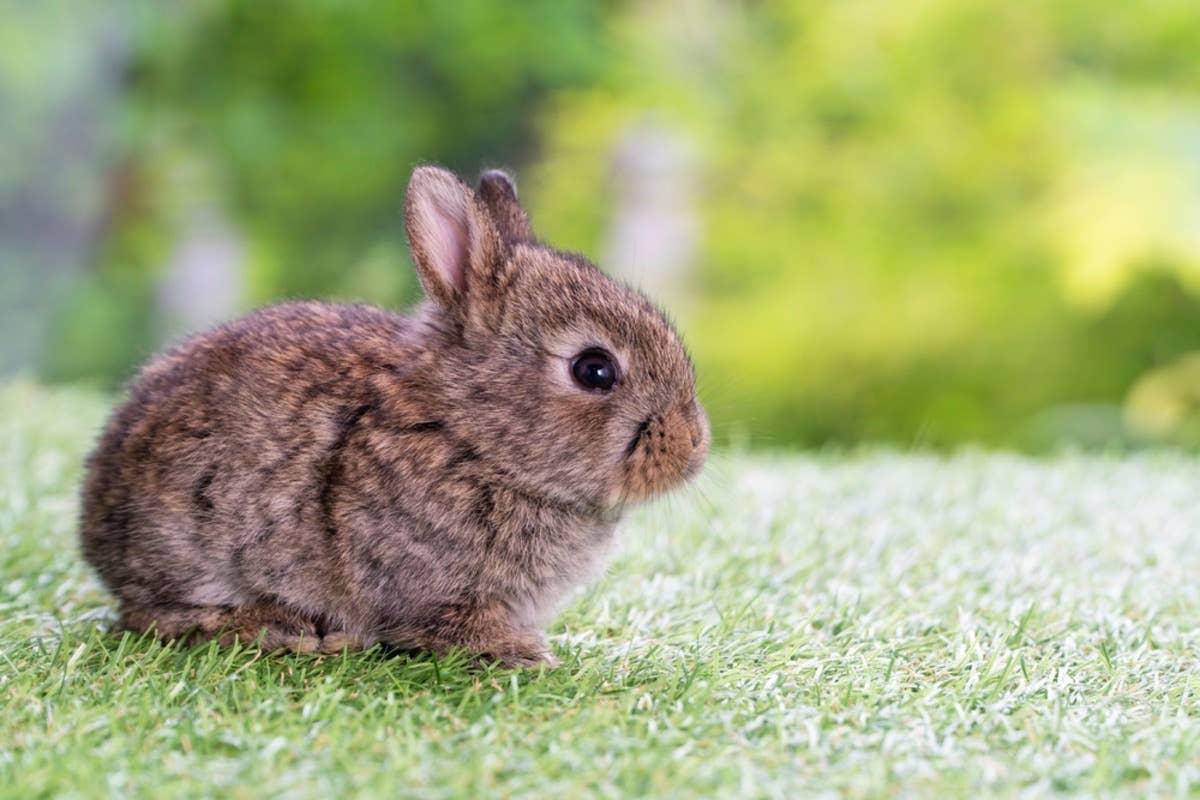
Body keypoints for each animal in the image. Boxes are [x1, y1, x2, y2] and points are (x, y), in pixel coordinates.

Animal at [79, 165, 709, 667]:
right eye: (594, 370)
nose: (692, 447)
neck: (469, 433)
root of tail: (94, 521)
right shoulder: (430, 588)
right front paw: (522, 653)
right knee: (158, 618)